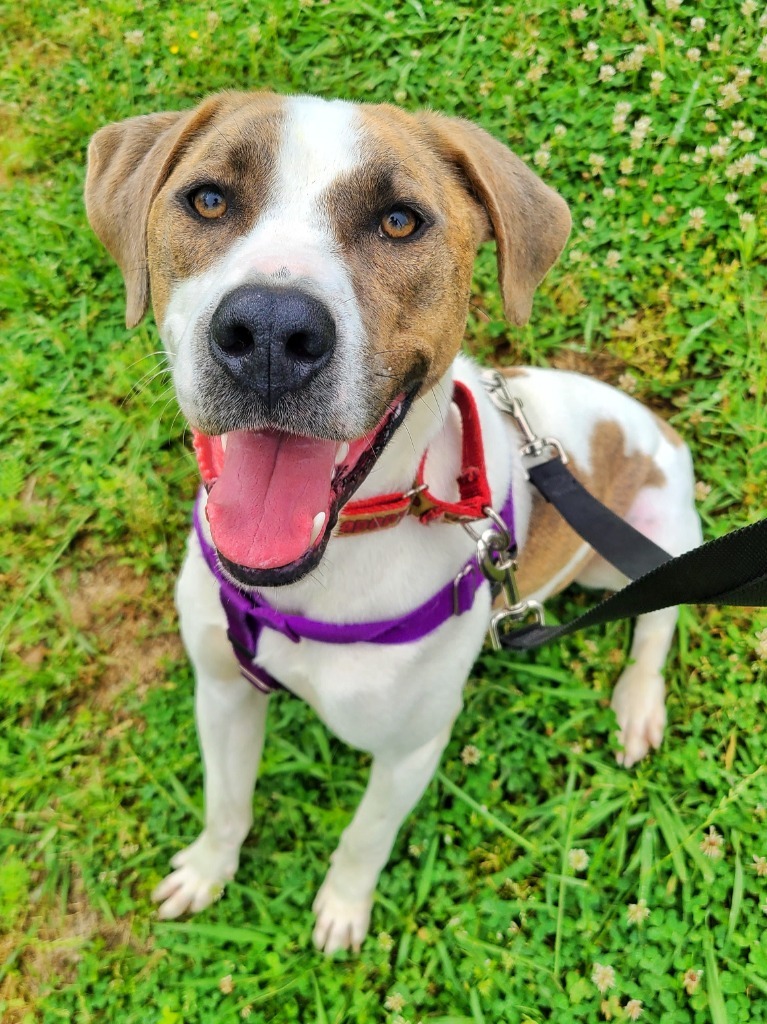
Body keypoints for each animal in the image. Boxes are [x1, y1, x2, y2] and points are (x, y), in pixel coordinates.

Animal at [83, 92, 700, 954]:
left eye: (400, 221)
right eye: (207, 199)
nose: (268, 333)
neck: (329, 562)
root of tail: (653, 424)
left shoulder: (411, 748)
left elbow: (363, 836)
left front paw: (342, 908)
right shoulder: (223, 690)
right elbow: (226, 801)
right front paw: (208, 869)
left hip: (642, 542)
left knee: (658, 616)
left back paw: (638, 702)